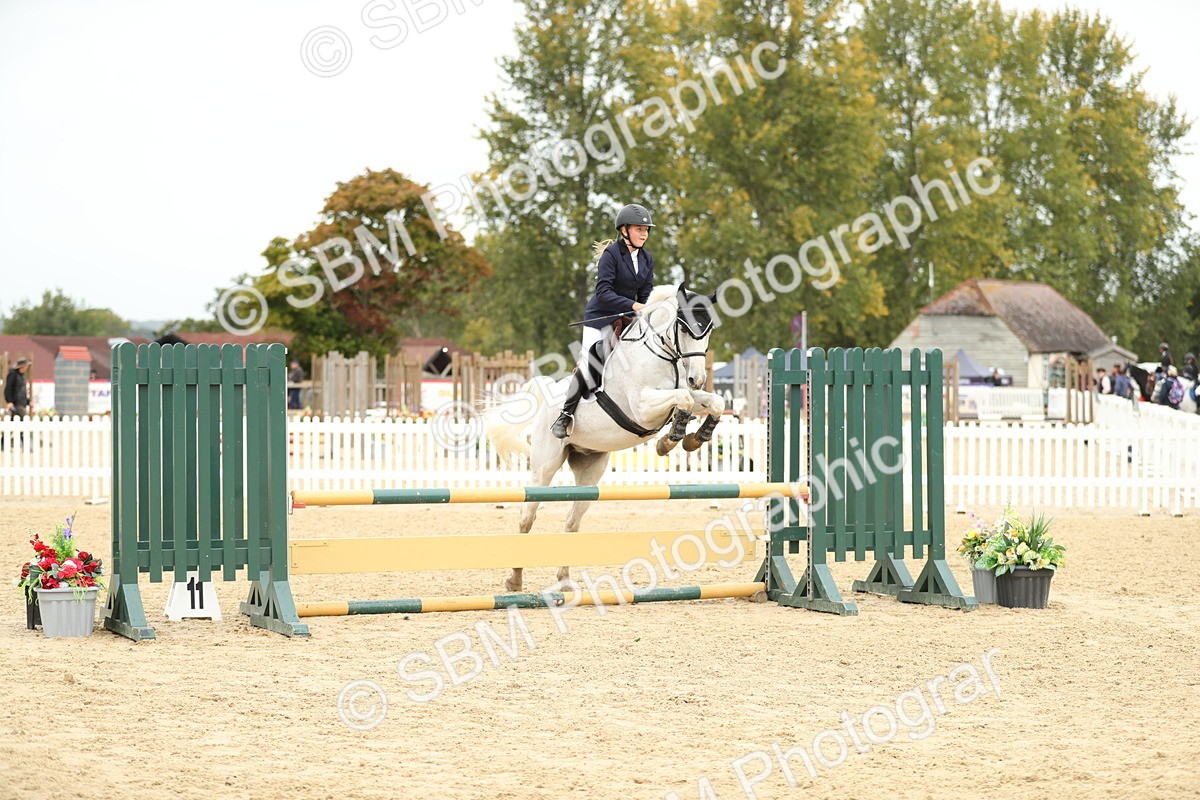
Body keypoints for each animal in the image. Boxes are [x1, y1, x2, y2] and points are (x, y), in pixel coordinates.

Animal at [484, 283, 726, 592]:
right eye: (684, 328)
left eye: (709, 329)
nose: (697, 378)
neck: (661, 355)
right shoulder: (642, 407)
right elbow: (682, 397)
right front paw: (669, 440)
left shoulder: (684, 397)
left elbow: (713, 401)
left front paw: (692, 438)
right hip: (544, 466)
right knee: (527, 517)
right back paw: (514, 580)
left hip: (590, 471)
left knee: (572, 522)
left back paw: (564, 580)